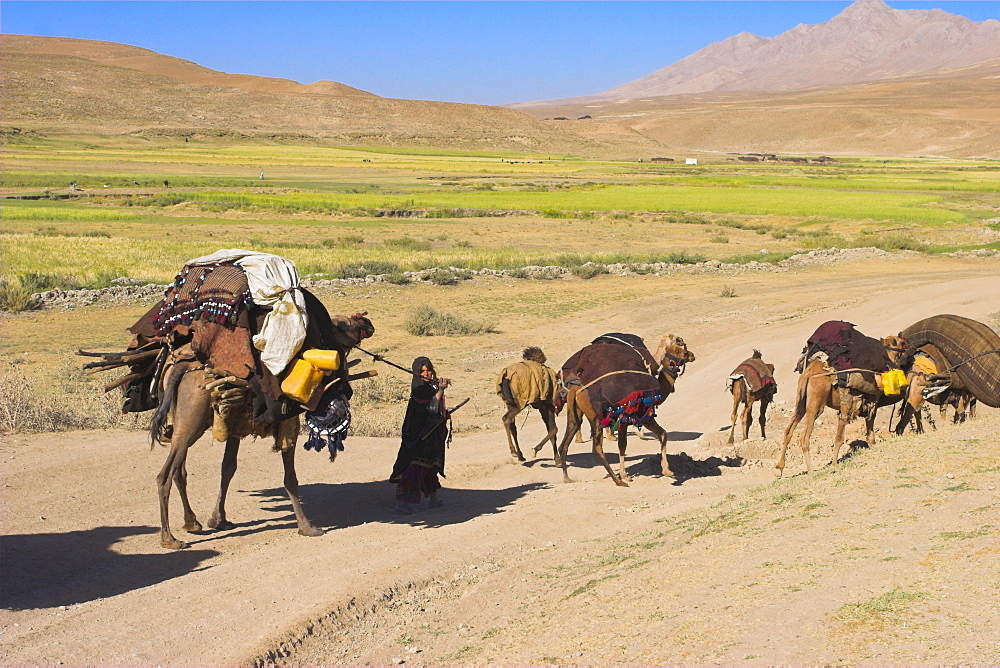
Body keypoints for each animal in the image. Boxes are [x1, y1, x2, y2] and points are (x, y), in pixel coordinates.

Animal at [146, 310, 370, 552]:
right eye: (341, 325)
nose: (366, 323)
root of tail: (179, 367)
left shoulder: (234, 426)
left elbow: (228, 468)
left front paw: (218, 519)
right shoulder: (288, 422)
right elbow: (290, 478)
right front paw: (307, 526)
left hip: (184, 423)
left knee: (179, 470)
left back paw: (191, 522)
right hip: (191, 421)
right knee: (164, 475)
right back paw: (169, 538)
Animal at [556, 334, 696, 486]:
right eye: (680, 350)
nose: (692, 355)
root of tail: (576, 388)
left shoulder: (641, 416)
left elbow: (662, 434)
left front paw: (667, 470)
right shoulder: (634, 413)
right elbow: (623, 444)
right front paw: (625, 475)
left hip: (575, 411)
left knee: (567, 438)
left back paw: (567, 477)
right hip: (596, 415)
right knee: (596, 448)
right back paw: (617, 480)